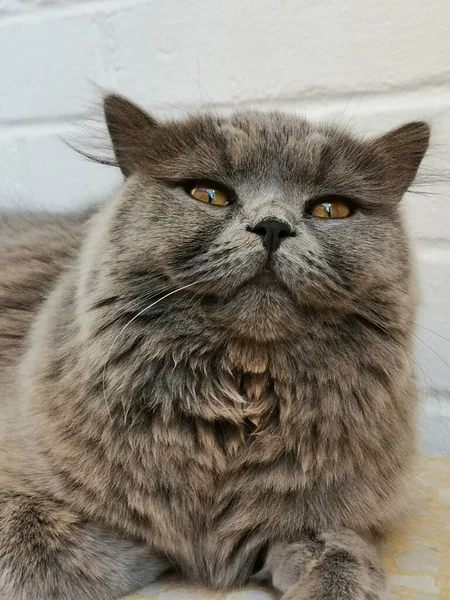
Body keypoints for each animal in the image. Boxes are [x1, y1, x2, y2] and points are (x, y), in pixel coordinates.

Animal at [0, 95, 428, 600]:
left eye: (330, 209)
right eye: (209, 195)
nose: (272, 226)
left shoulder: (346, 507)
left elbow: (337, 541)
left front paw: (334, 577)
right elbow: (46, 547)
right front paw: (156, 549)